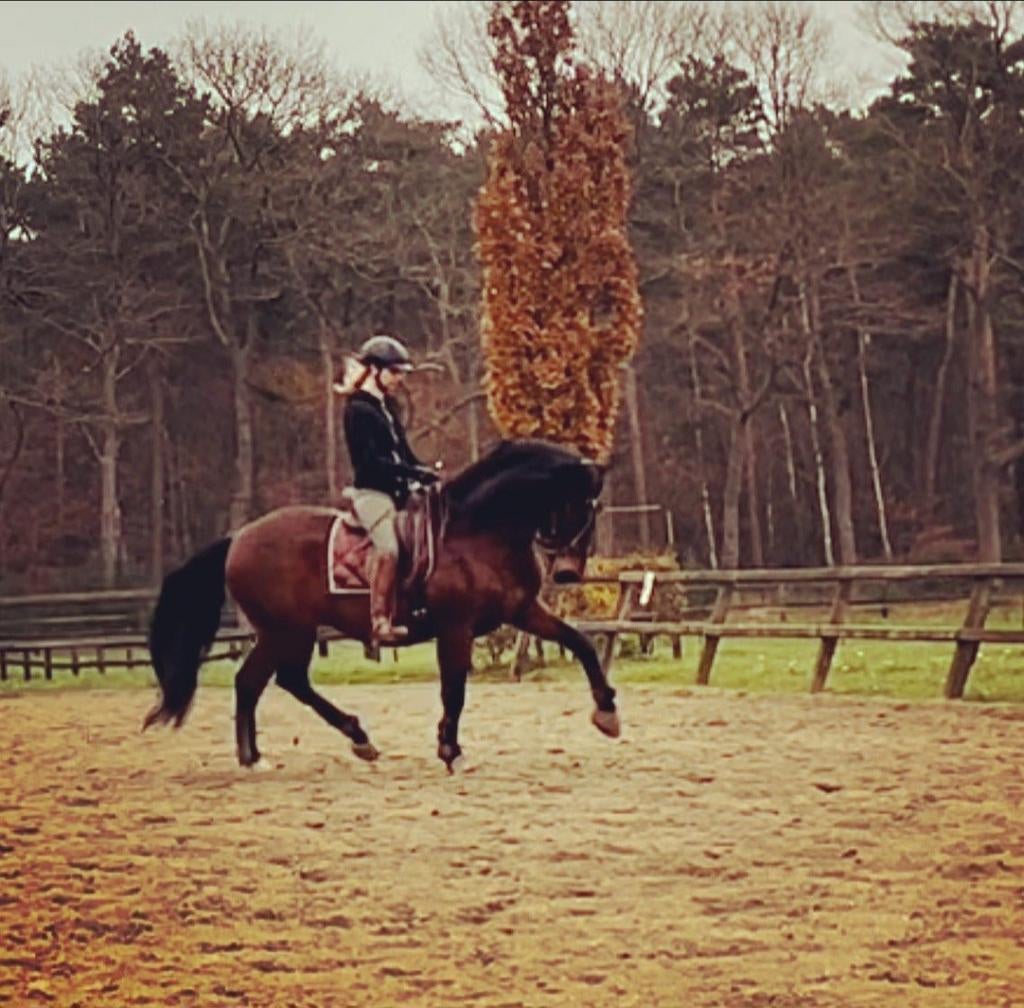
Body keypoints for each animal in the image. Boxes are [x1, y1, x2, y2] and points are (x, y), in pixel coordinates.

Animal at [144, 438, 620, 771]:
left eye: (594, 507)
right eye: (579, 504)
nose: (569, 573)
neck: (477, 531)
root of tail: (239, 537)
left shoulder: (521, 611)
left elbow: (581, 644)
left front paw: (607, 713)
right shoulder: (456, 626)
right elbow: (454, 688)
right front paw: (451, 750)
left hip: (286, 632)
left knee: (263, 681)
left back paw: (296, 749)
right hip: (287, 630)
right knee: (271, 681)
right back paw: (274, 753)